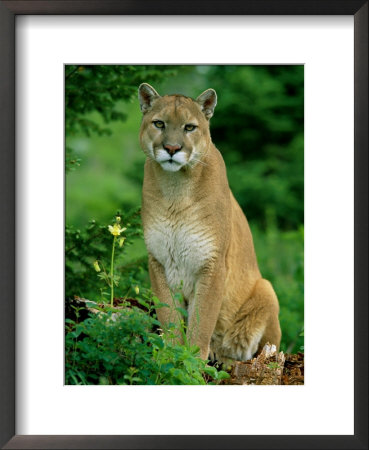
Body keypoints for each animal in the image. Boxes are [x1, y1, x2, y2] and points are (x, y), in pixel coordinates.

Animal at [137, 82, 278, 360]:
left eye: (189, 127)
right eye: (159, 123)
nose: (172, 149)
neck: (176, 190)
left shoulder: (211, 263)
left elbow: (202, 322)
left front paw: (192, 361)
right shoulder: (158, 259)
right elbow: (168, 315)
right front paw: (170, 356)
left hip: (266, 288)